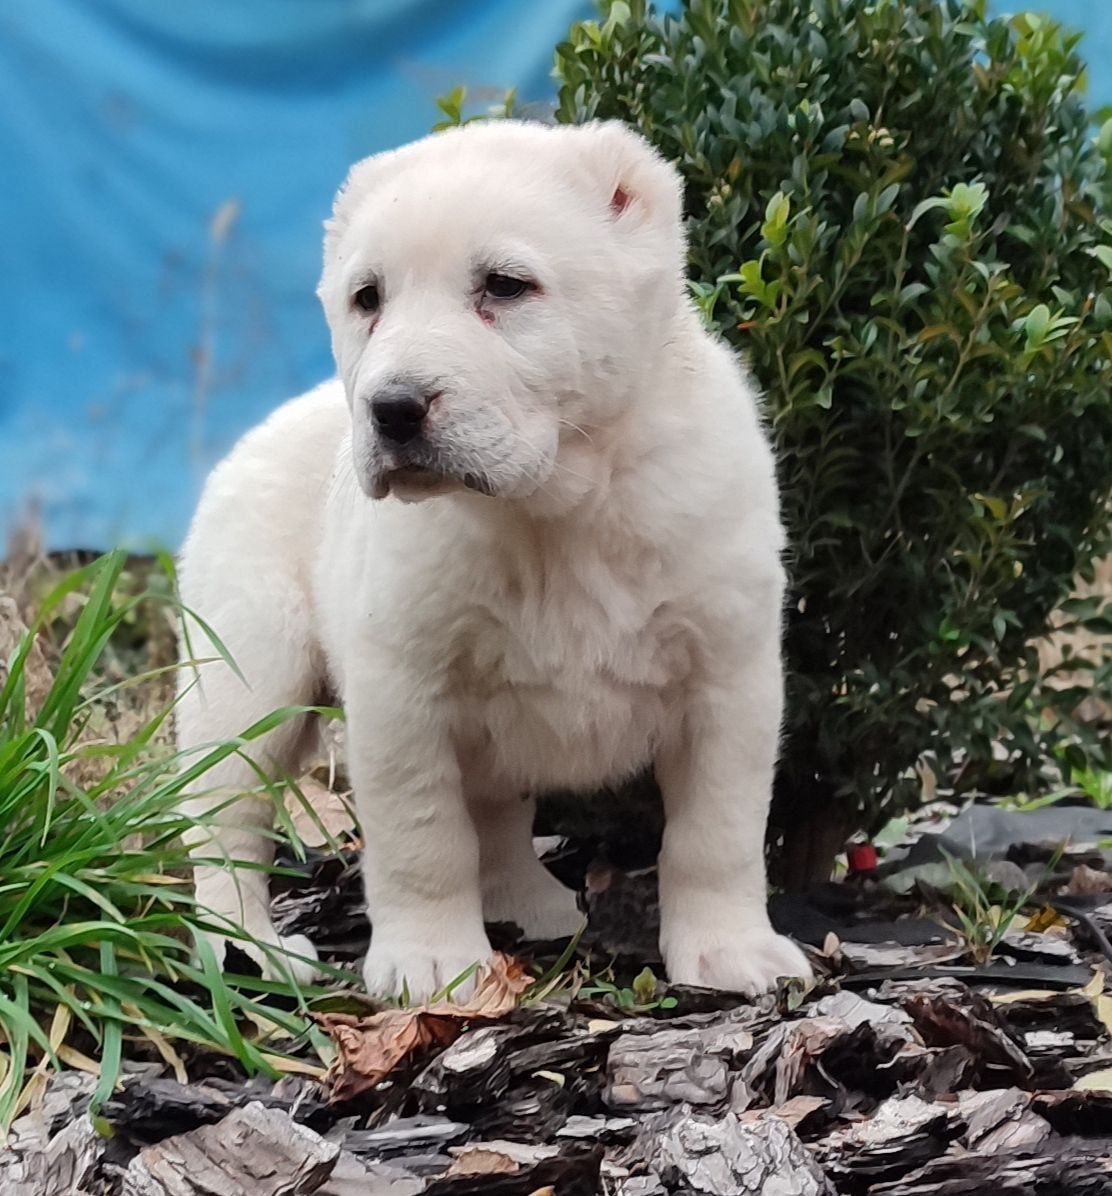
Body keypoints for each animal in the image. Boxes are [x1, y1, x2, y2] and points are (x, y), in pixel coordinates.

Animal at [178, 121, 808, 999]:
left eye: (506, 287)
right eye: (367, 298)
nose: (392, 408)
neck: (553, 509)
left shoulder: (728, 675)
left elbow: (717, 827)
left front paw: (730, 952)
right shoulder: (402, 685)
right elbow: (422, 834)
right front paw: (433, 965)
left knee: (497, 815)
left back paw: (527, 906)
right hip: (246, 673)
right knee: (225, 817)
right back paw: (247, 946)